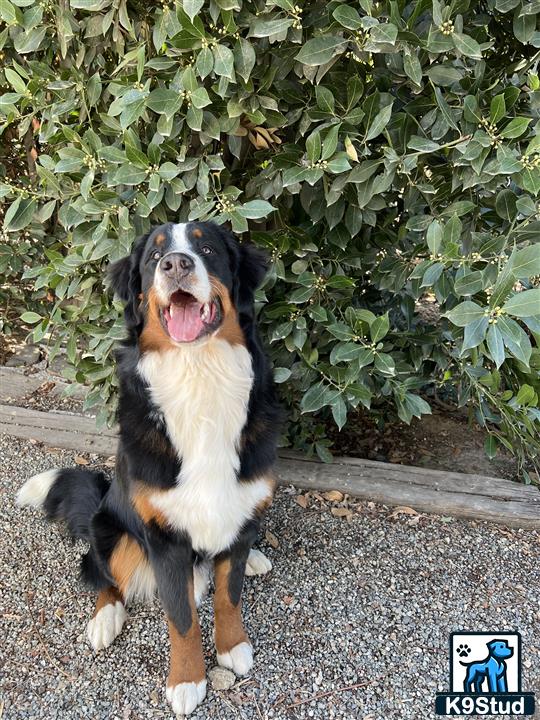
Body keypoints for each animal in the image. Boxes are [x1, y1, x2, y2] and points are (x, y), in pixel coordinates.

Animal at [16, 222, 280, 716]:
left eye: (207, 248)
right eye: (154, 257)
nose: (176, 264)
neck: (200, 375)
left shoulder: (239, 502)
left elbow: (229, 595)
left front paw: (233, 645)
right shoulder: (164, 539)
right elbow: (181, 618)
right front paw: (187, 681)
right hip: (113, 530)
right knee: (101, 573)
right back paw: (105, 618)